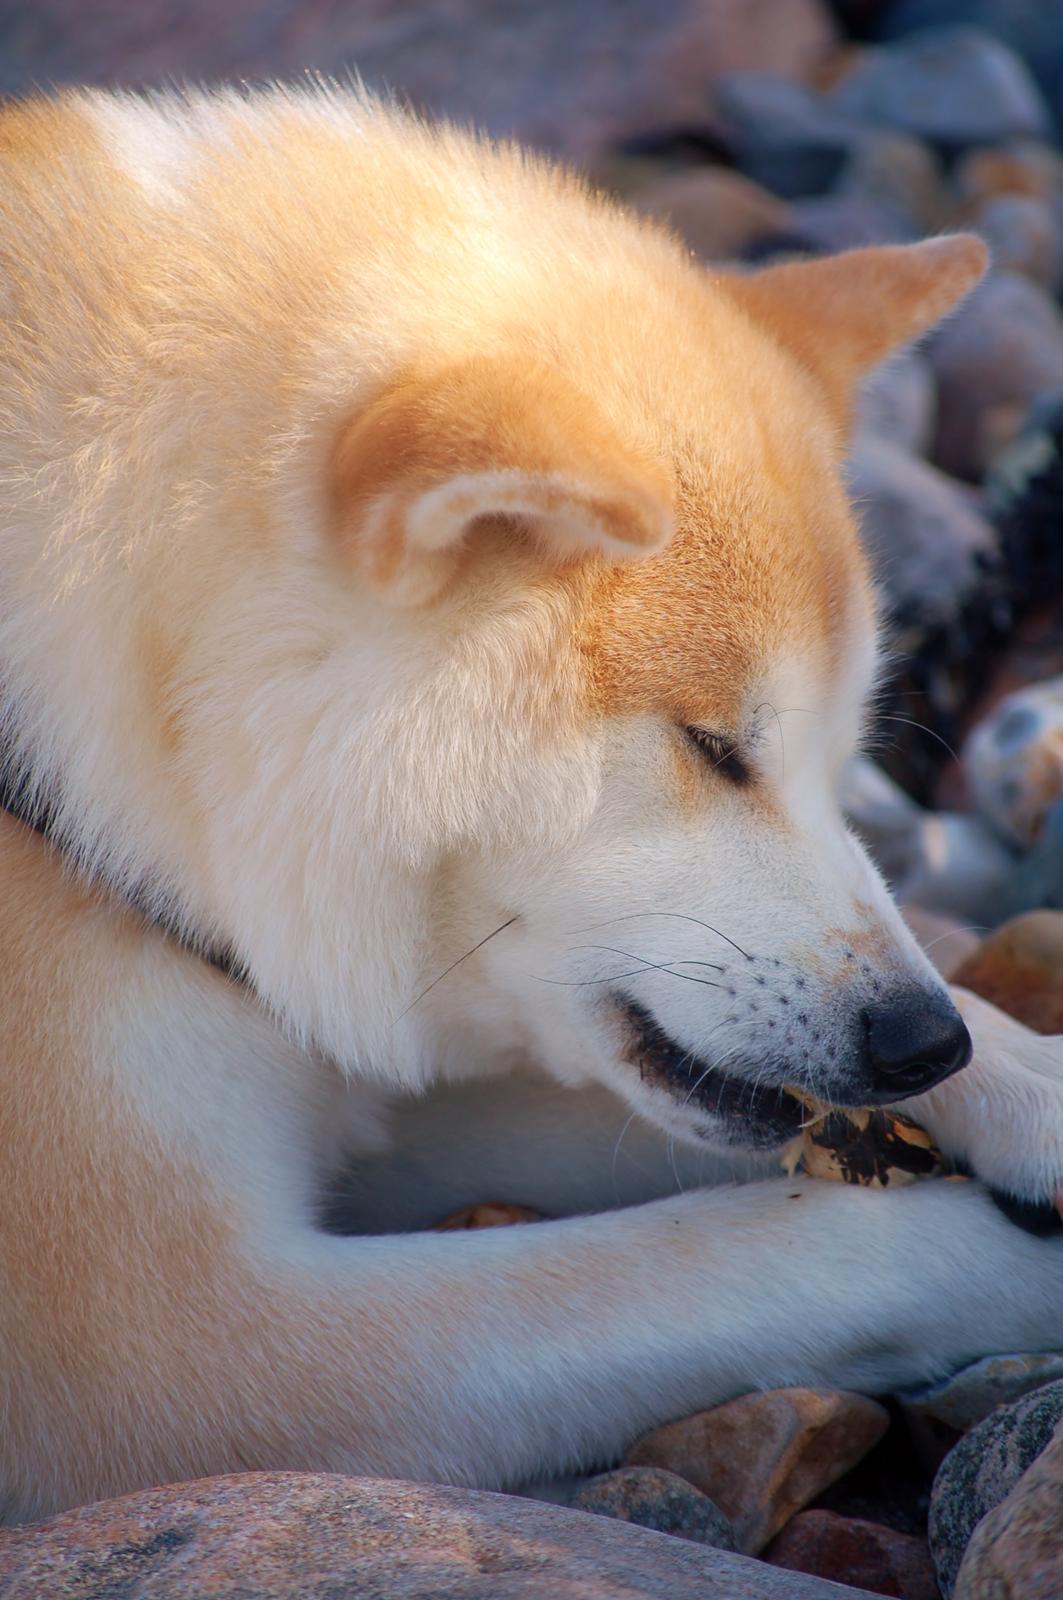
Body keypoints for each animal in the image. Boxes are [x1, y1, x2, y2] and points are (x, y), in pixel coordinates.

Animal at [2, 84, 1063, 1523]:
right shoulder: (180, 1347)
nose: (918, 1041)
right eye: (712, 747)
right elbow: (762, 1255)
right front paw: (1004, 1258)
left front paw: (1031, 1087)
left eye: (843, 754)